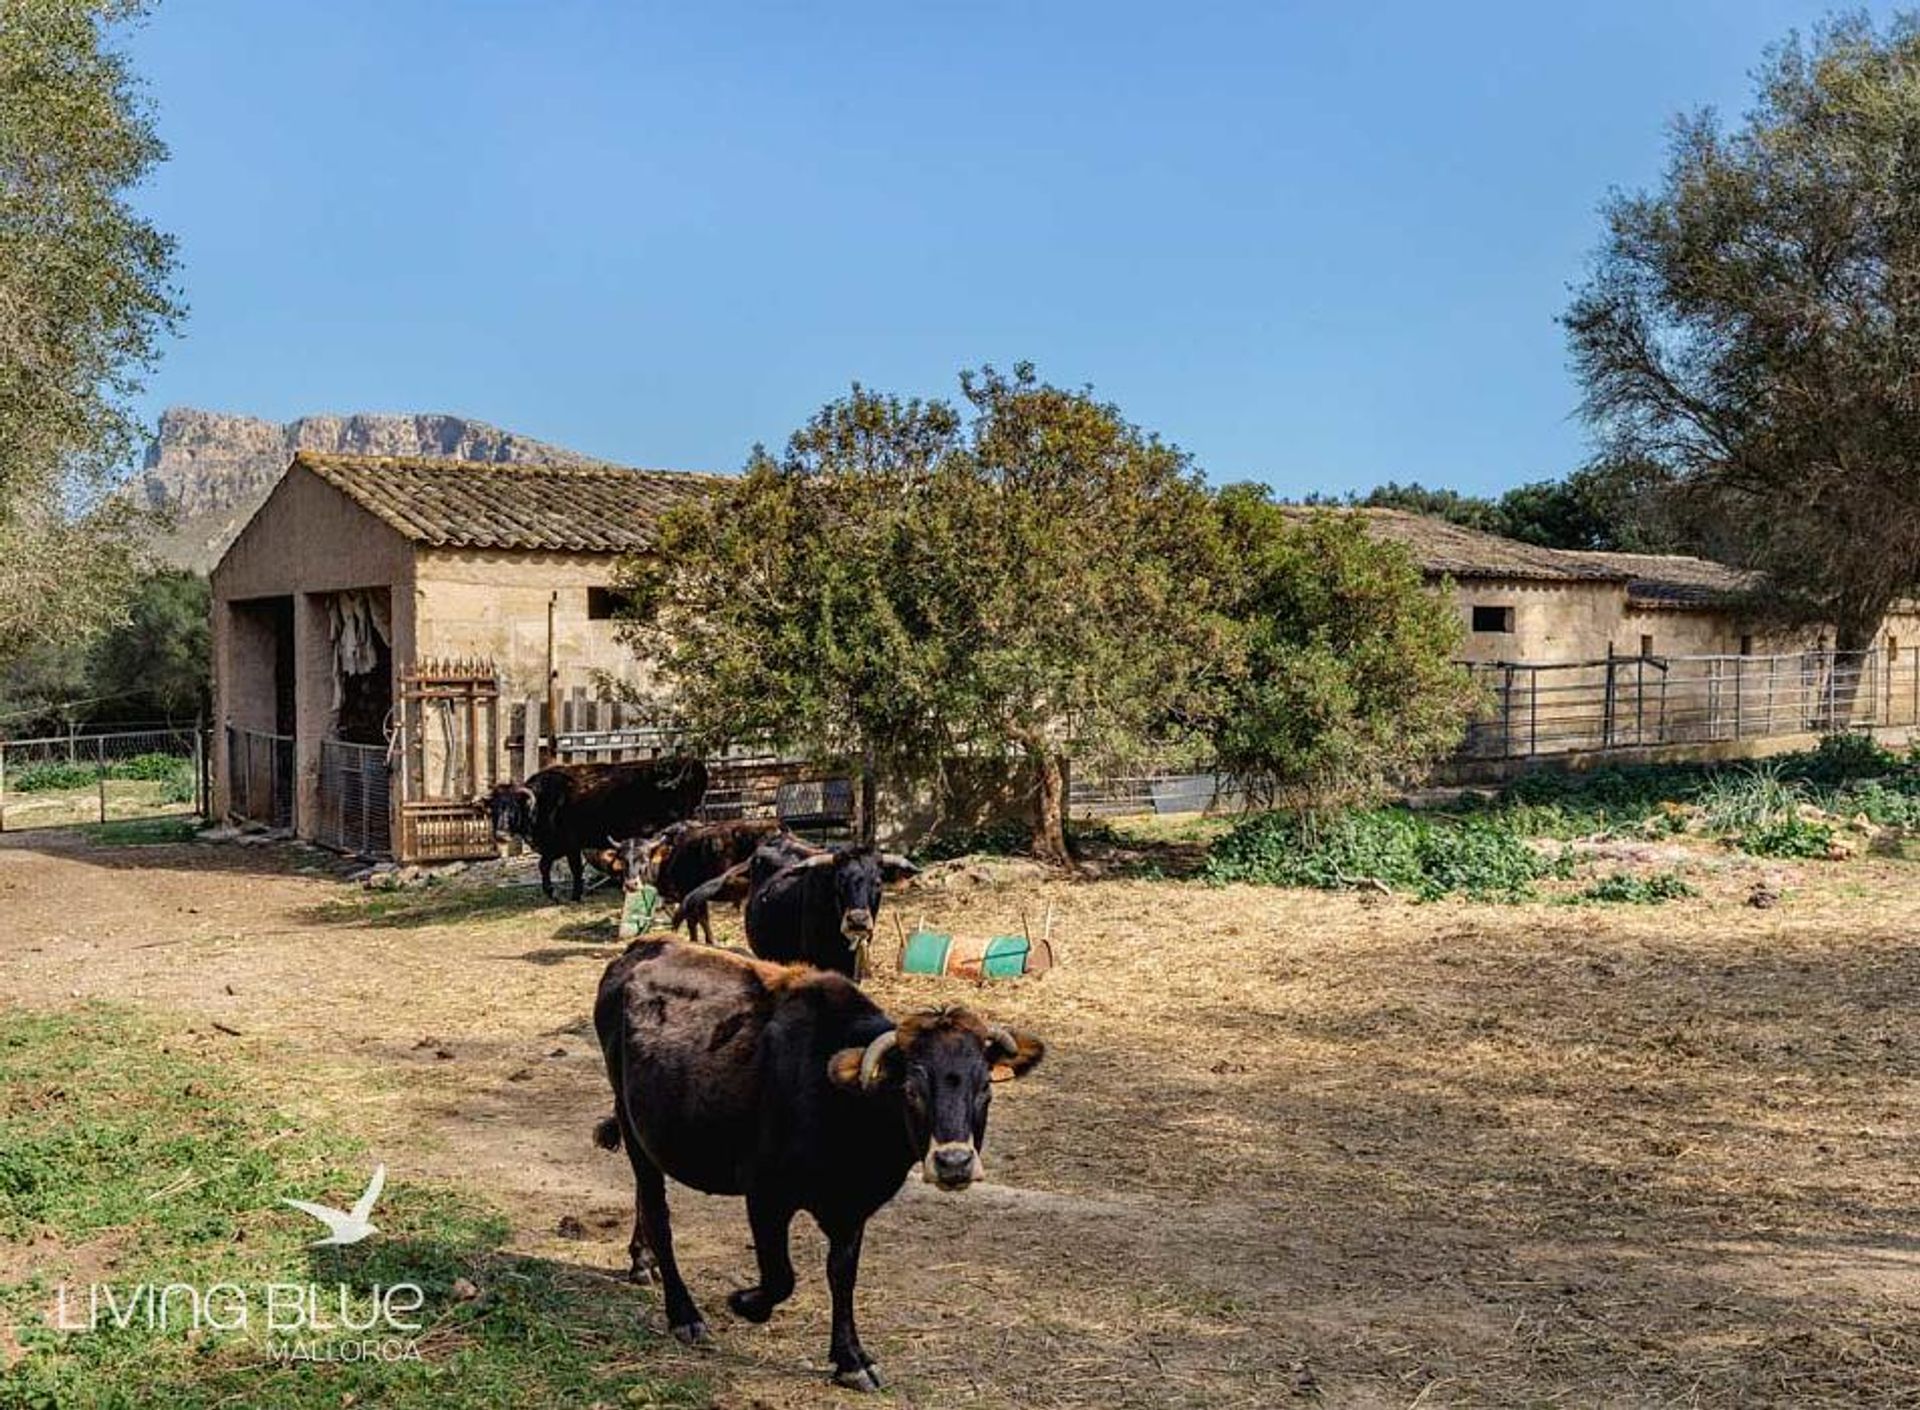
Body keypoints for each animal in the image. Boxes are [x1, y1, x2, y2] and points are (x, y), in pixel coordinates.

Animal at [483, 760, 710, 906]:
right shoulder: (555, 847)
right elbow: (543, 865)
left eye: (514, 808)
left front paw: (575, 896)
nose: (501, 834)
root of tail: (691, 763)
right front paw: (552, 893)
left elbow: (575, 870)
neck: (543, 802)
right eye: (493, 809)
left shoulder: (571, 845)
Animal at [599, 937, 1052, 1390]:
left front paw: (851, 1358)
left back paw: (642, 1261)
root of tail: (644, 946)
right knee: (657, 1212)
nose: (953, 1162)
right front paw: (745, 1301)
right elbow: (781, 1277)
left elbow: (842, 1275)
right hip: (633, 1124)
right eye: (910, 1089)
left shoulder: (853, 1207)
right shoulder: (765, 1194)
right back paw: (684, 1315)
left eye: (985, 1087)